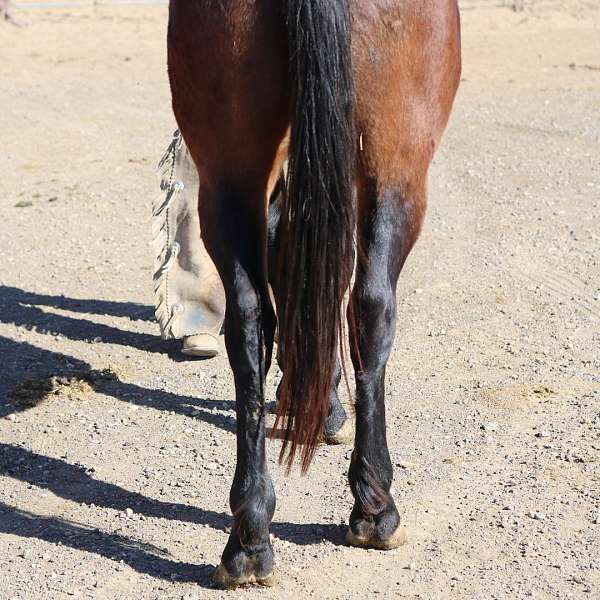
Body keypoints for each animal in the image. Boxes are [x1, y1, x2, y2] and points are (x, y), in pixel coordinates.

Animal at [166, 0, 462, 588]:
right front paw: (322, 406)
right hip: (400, 165)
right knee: (369, 308)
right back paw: (376, 508)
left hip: (230, 173)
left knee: (254, 322)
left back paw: (250, 536)